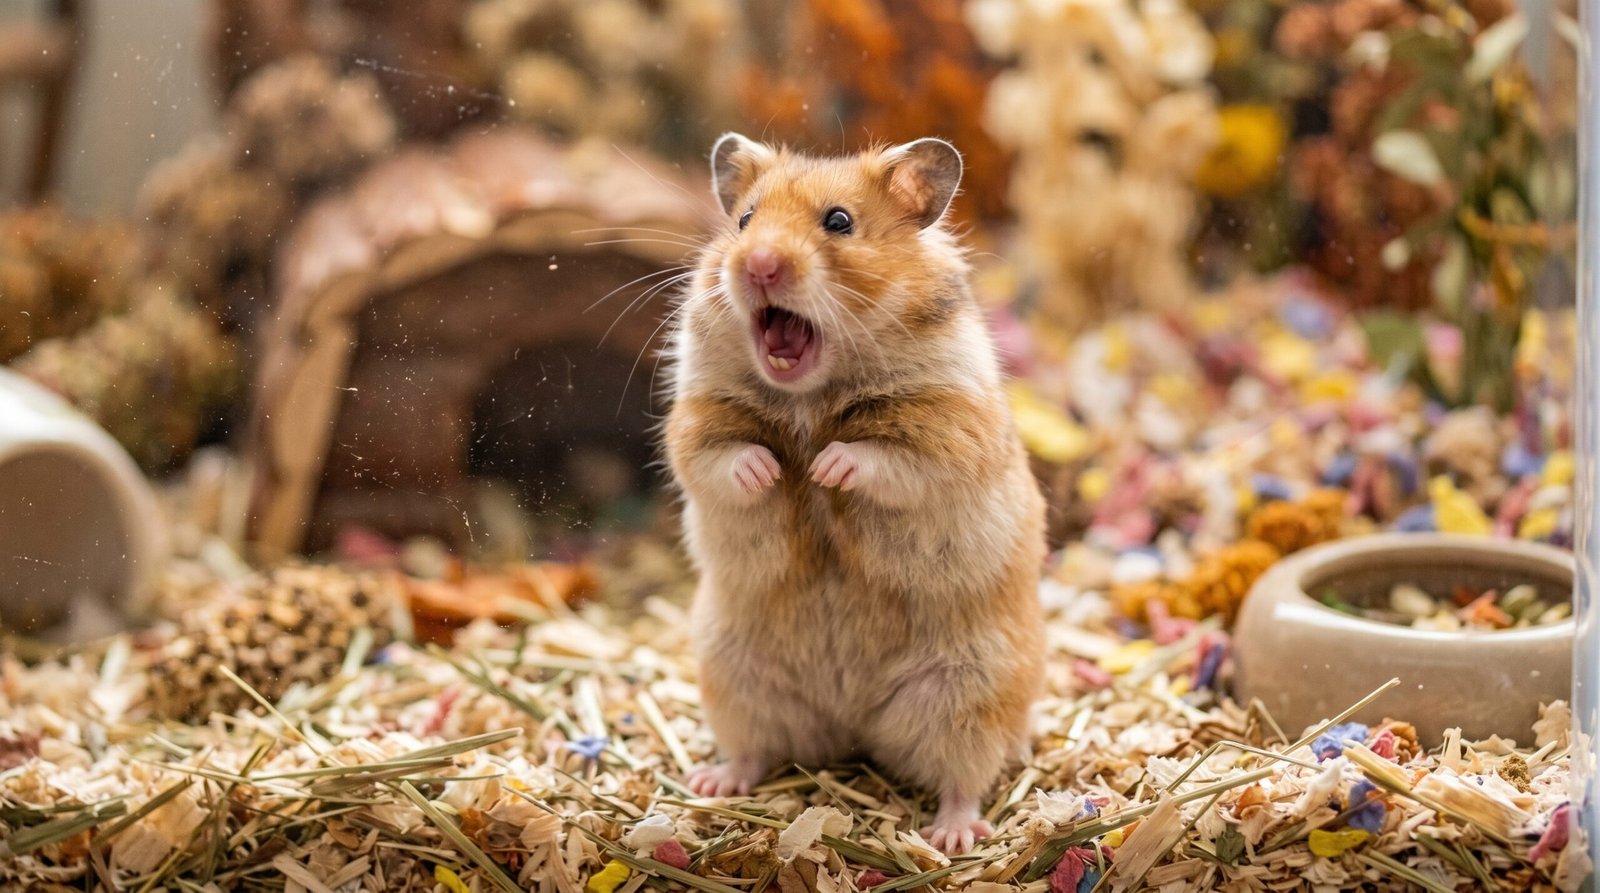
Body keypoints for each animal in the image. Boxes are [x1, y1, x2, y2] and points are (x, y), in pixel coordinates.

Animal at [662, 133, 1046, 854]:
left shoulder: (951, 425)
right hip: (733, 673)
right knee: (754, 748)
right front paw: (775, 473)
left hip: (972, 688)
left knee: (965, 774)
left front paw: (822, 469)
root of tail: (851, 724)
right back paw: (713, 782)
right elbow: (723, 457)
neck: (810, 395)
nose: (757, 265)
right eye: (745, 221)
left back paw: (953, 836)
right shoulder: (695, 419)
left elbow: (883, 458)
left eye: (839, 222)